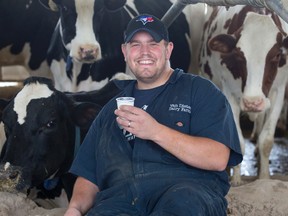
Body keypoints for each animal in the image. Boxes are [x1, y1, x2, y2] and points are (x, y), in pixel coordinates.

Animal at [199, 5, 288, 184]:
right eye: (239, 55)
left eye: (276, 55)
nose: (252, 103)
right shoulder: (228, 91)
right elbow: (238, 142)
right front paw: (236, 181)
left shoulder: (279, 90)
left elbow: (266, 140)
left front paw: (264, 178)